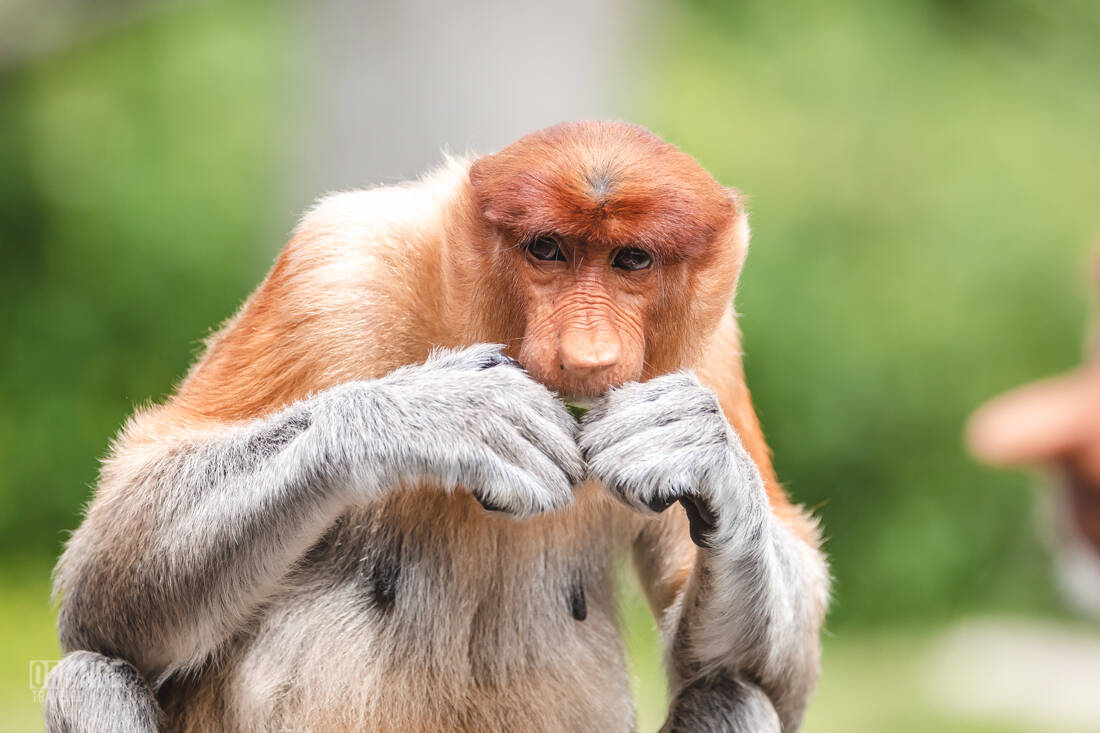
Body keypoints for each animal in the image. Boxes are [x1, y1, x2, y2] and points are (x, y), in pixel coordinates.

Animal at [46, 121, 829, 732]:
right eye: (548, 249)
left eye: (631, 259)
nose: (588, 355)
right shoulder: (336, 267)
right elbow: (109, 563)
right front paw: (453, 413)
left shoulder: (713, 351)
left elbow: (776, 673)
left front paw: (694, 445)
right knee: (91, 673)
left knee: (733, 693)